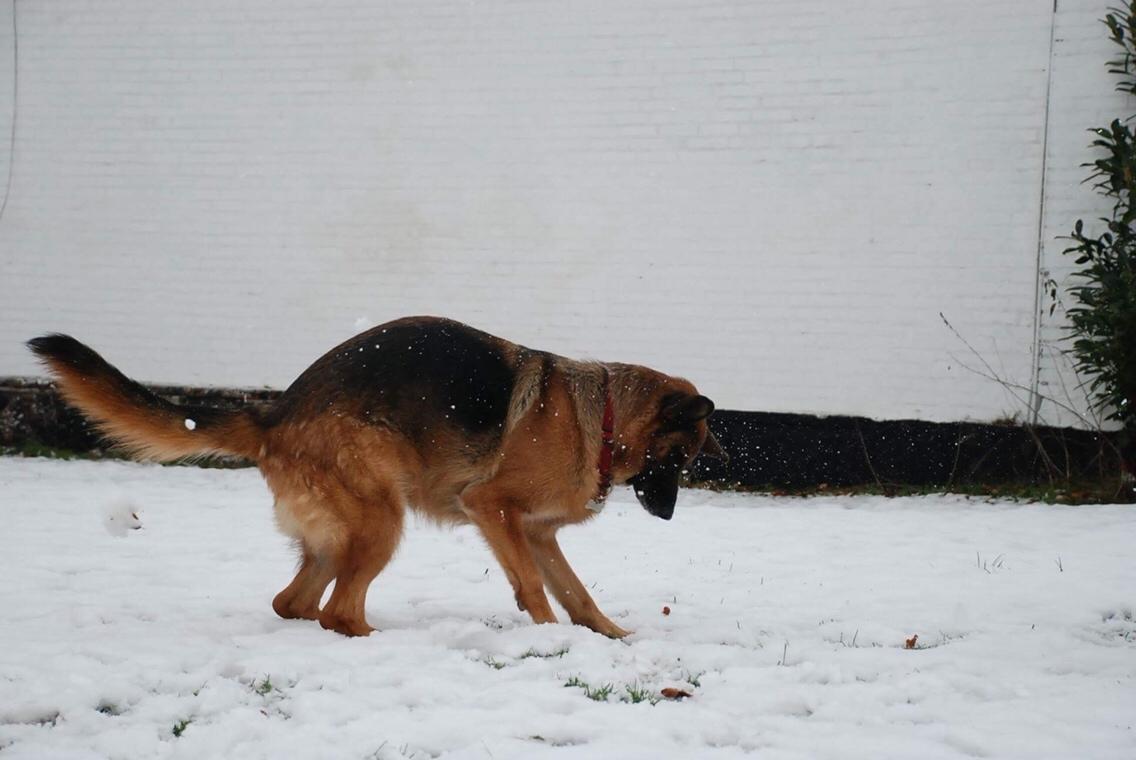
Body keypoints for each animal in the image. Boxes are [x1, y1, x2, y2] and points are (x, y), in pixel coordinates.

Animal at [28, 318, 727, 636]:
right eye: (679, 459)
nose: (669, 513)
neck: (602, 415)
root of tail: (275, 412)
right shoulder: (493, 508)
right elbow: (534, 587)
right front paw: (551, 640)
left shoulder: (538, 533)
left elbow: (577, 592)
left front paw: (611, 638)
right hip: (382, 519)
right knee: (338, 609)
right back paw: (374, 638)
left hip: (339, 535)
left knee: (295, 602)